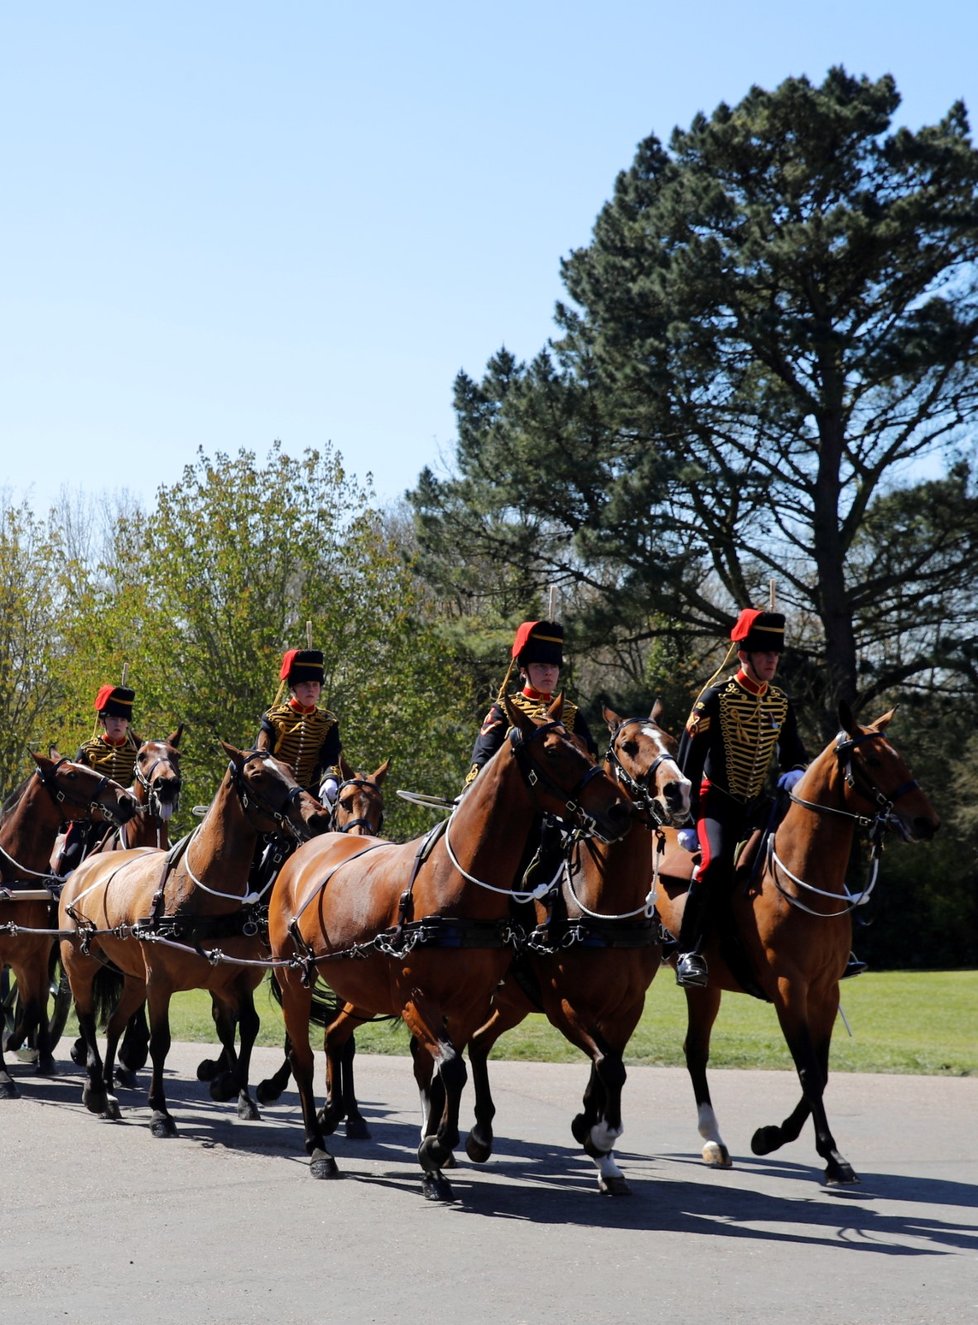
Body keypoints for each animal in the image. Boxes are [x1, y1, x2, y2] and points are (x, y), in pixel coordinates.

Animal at [0, 752, 139, 1091]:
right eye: (72, 775)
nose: (126, 800)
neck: (15, 879)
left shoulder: (33, 954)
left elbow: (33, 1007)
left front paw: (16, 1043)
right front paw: (4, 1074)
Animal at [59, 742, 327, 1134]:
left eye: (290, 769)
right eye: (258, 776)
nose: (318, 817)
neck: (201, 891)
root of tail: (86, 867)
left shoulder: (235, 977)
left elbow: (247, 1026)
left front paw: (230, 1085)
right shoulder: (160, 983)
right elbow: (161, 1042)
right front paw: (160, 1110)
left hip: (134, 979)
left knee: (115, 1024)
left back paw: (108, 1090)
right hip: (79, 965)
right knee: (87, 1019)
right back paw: (95, 1088)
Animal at [262, 694, 628, 1203]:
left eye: (583, 744)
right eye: (555, 751)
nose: (619, 809)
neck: (457, 884)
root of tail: (308, 849)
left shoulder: (471, 1002)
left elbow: (447, 1071)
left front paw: (438, 1152)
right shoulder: (417, 1001)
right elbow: (450, 1068)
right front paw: (435, 1148)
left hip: (361, 988)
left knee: (337, 1037)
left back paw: (337, 1115)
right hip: (294, 976)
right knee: (303, 1056)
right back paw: (318, 1145)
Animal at [461, 699, 689, 1197]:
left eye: (671, 739)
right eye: (629, 746)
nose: (677, 791)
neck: (608, 906)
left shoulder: (625, 1008)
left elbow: (606, 1068)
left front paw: (600, 1149)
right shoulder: (565, 1007)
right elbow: (609, 1067)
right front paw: (599, 1134)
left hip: (511, 1003)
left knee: (479, 1043)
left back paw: (482, 1132)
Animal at [654, 710, 938, 1187]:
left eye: (898, 755)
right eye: (873, 761)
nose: (926, 822)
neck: (804, 872)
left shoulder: (825, 990)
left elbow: (820, 1073)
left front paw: (803, 1145)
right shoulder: (789, 989)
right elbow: (807, 1068)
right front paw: (811, 1148)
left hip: (705, 987)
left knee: (695, 1051)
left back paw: (713, 1141)